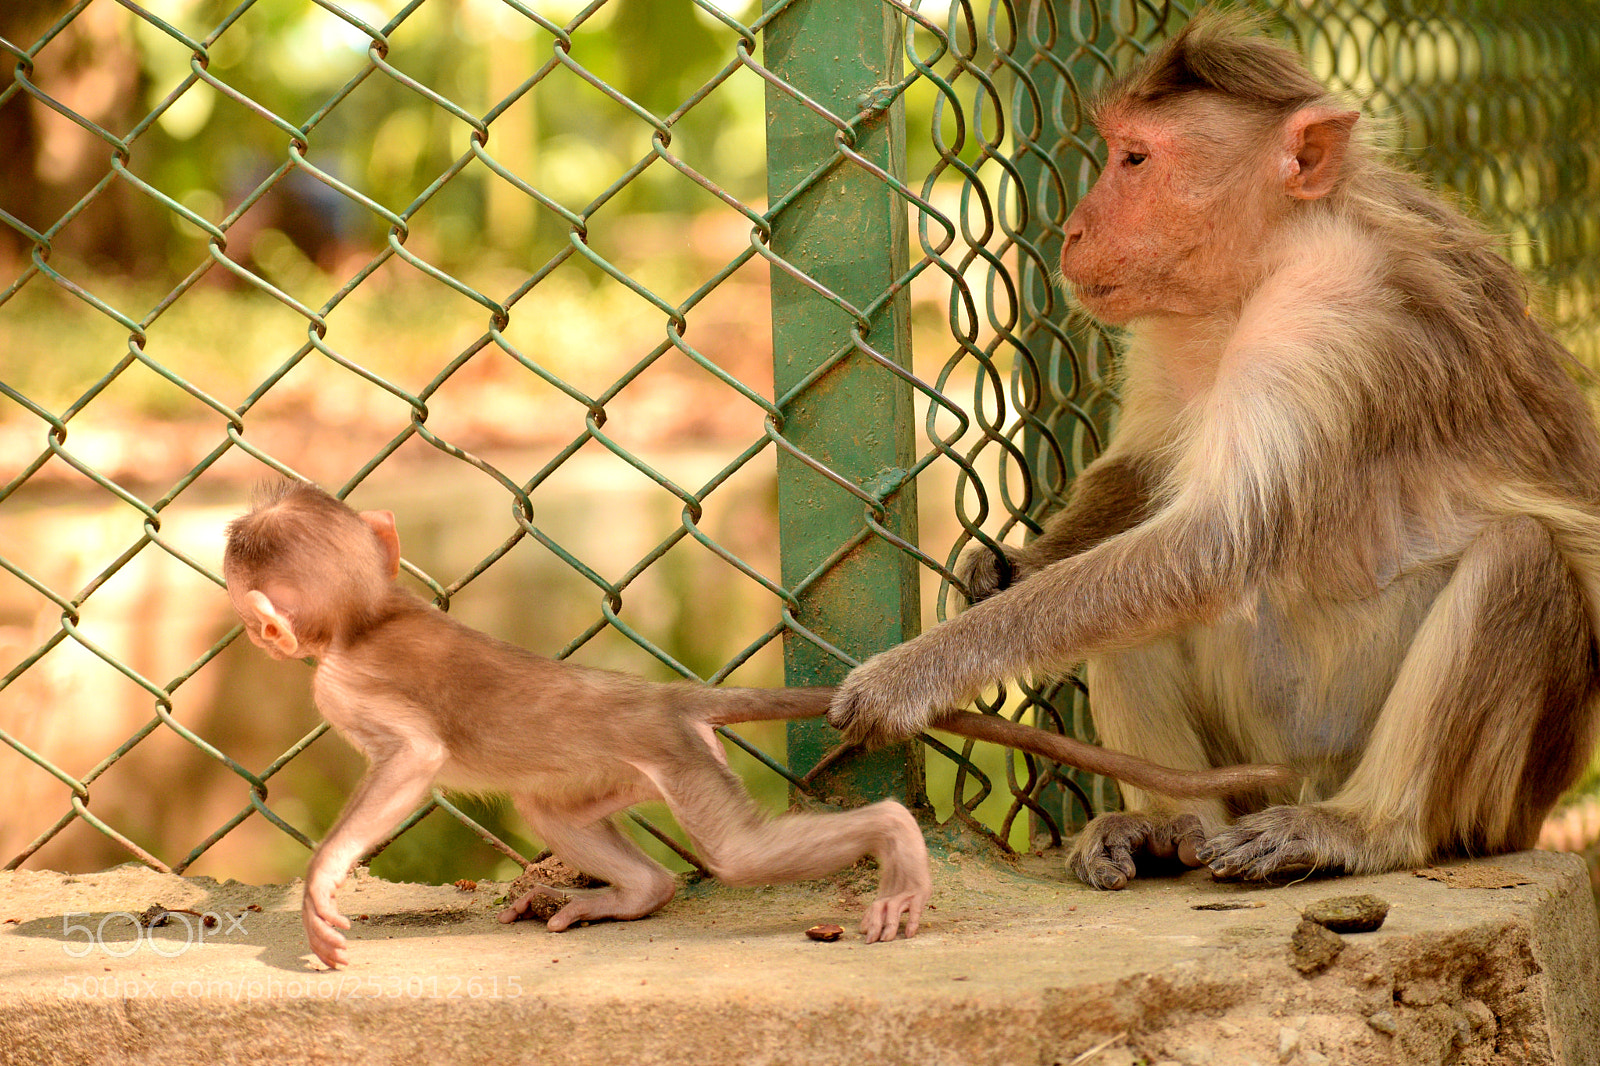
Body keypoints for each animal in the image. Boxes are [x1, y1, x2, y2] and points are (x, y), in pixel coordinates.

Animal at [222, 481, 1292, 967]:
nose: (247, 630)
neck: (373, 616)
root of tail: (667, 697)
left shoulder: (345, 686)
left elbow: (412, 758)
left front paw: (322, 885)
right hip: (623, 766)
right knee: (563, 817)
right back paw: (635, 893)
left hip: (677, 761)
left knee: (737, 853)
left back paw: (895, 844)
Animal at [827, 11, 1600, 892]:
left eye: (1136, 160)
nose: (1076, 228)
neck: (1259, 271)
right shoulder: (1171, 318)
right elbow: (1146, 475)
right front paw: (1012, 566)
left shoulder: (1327, 315)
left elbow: (1210, 549)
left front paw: (910, 676)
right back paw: (1172, 824)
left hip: (1487, 794)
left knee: (1518, 556)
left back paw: (1360, 828)